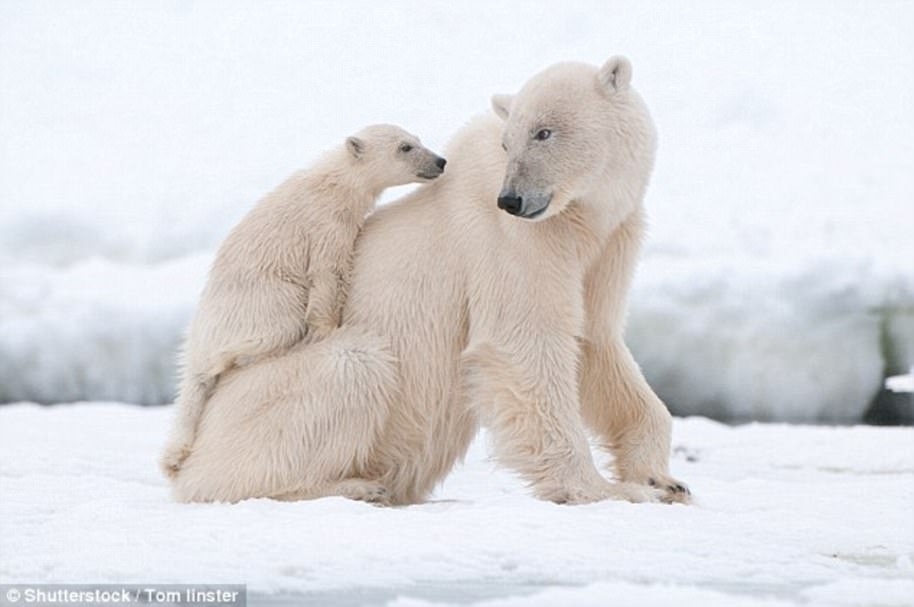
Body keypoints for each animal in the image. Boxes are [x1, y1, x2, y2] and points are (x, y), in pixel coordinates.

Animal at [159, 127, 446, 480]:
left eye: (418, 140)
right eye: (405, 147)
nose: (440, 161)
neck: (334, 182)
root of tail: (197, 341)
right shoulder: (326, 224)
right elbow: (328, 273)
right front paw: (327, 329)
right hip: (262, 303)